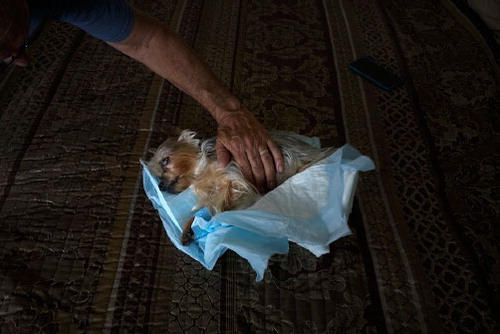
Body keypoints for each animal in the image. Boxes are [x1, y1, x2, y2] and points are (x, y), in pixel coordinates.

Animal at [148, 130, 336, 245]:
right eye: (157, 176)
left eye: (165, 161)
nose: (160, 185)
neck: (201, 172)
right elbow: (212, 208)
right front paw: (189, 227)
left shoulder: (234, 176)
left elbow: (221, 205)